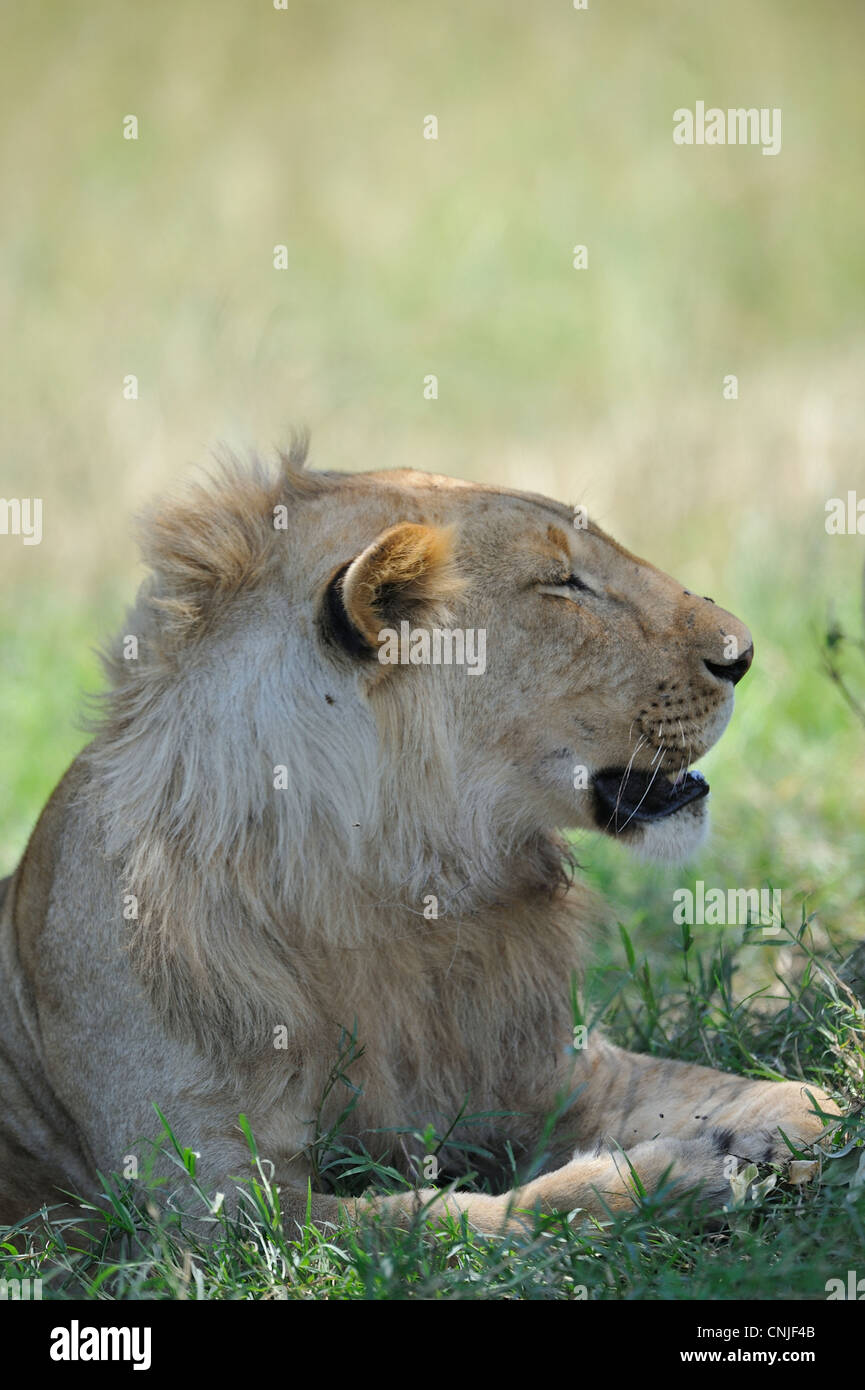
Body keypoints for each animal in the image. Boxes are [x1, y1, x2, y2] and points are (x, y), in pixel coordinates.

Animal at [0, 442, 839, 1236]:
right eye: (562, 583)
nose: (745, 655)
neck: (393, 885)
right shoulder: (212, 1207)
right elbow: (448, 1218)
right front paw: (684, 1176)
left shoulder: (552, 1071)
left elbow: (696, 1082)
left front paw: (796, 1115)